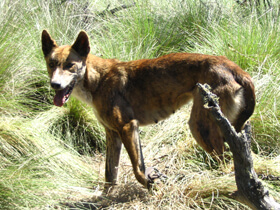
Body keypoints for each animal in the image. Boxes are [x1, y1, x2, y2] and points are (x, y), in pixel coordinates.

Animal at [41, 30, 256, 189]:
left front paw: (152, 186)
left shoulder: (128, 127)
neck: (98, 79)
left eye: (70, 65)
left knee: (225, 161)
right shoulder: (112, 133)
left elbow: (138, 170)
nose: (55, 85)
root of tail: (234, 67)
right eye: (51, 64)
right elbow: (110, 175)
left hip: (199, 127)